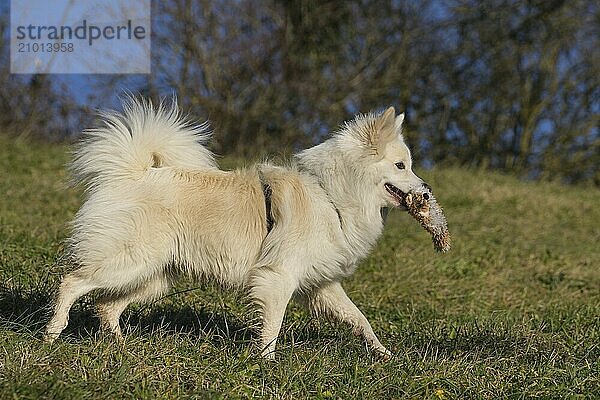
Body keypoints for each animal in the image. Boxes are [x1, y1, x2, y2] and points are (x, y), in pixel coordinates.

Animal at [43, 97, 436, 360]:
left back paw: (122, 346)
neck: (330, 194)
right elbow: (272, 326)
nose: (427, 190)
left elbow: (360, 319)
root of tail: (133, 173)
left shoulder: (321, 285)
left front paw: (383, 354)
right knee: (72, 282)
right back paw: (52, 332)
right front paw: (266, 364)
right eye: (401, 166)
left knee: (106, 306)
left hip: (153, 278)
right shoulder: (278, 277)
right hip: (129, 262)